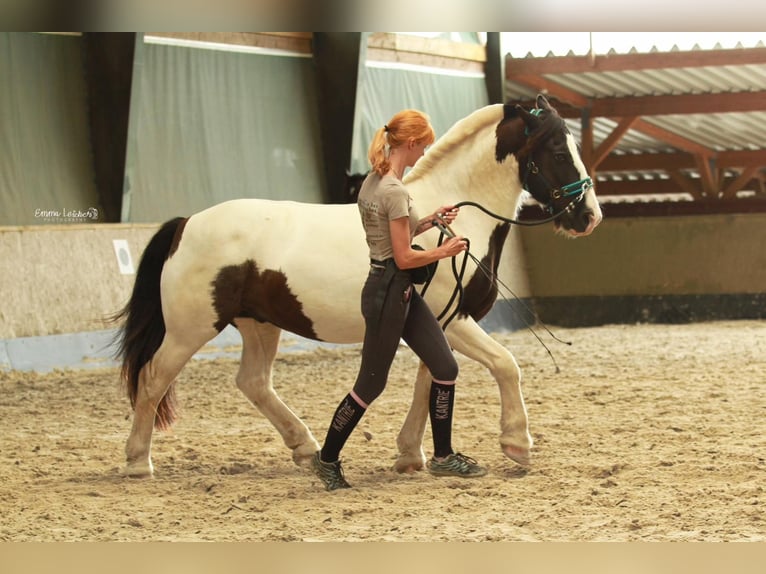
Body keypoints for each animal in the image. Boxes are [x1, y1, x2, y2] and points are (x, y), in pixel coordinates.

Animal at [117, 97, 604, 480]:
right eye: (558, 149)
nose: (590, 216)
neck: (458, 220)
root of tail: (187, 223)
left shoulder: (435, 324)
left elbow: (429, 382)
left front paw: (410, 454)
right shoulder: (455, 322)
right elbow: (505, 365)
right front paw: (517, 442)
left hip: (259, 325)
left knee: (253, 382)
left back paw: (306, 447)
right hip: (190, 330)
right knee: (153, 378)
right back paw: (138, 462)